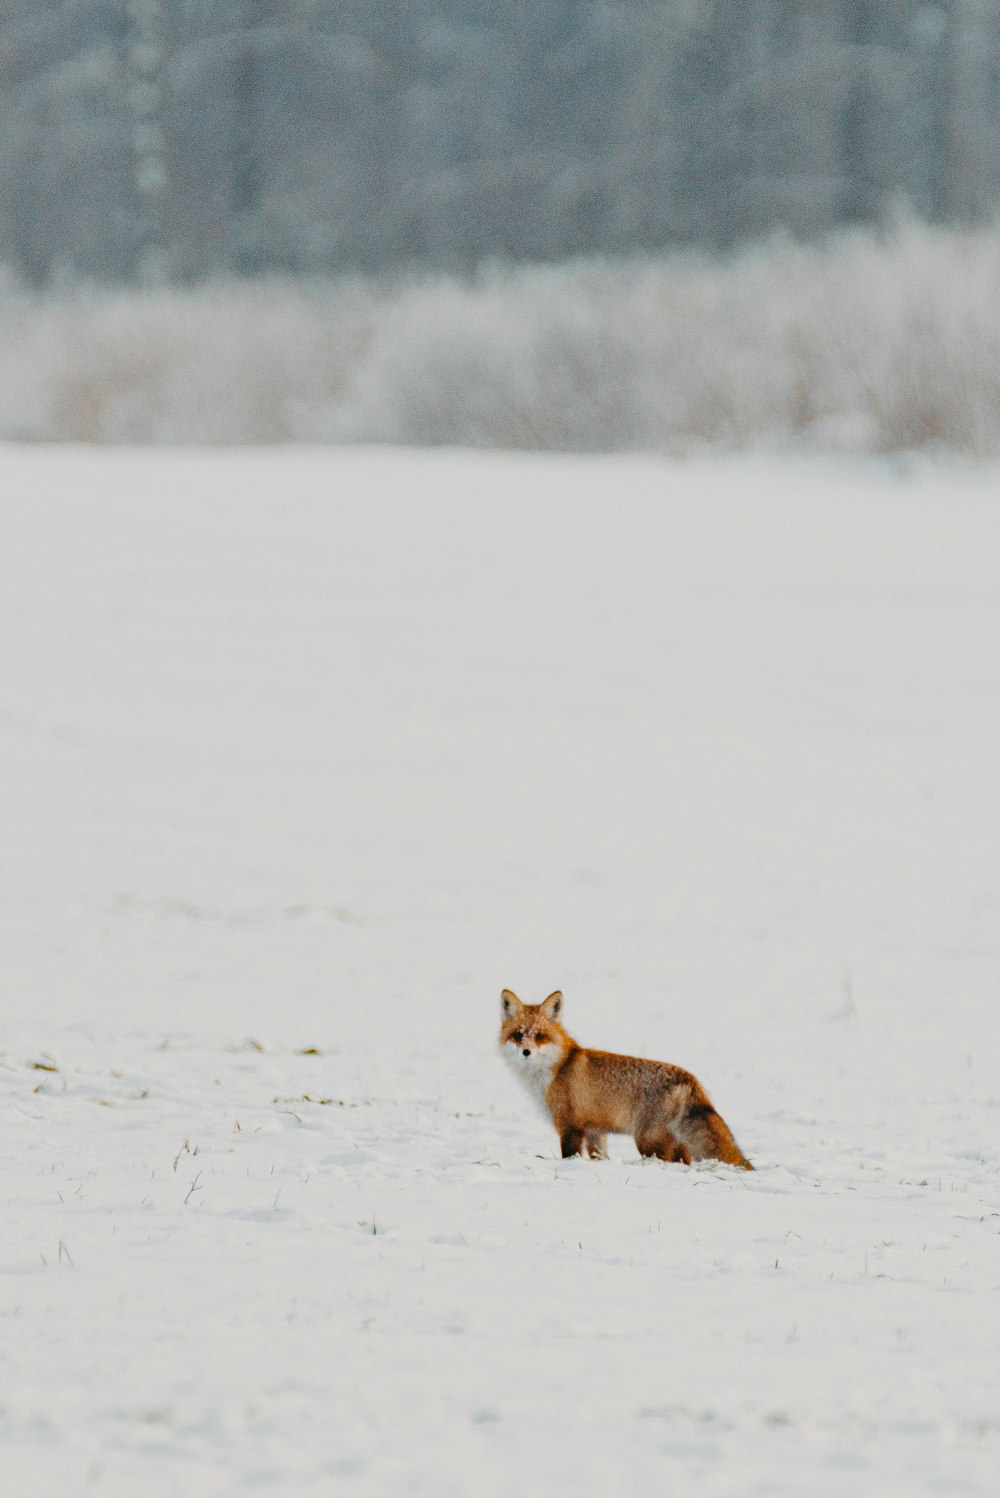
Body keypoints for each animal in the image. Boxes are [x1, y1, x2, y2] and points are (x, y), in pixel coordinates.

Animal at [499, 994, 748, 1168]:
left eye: (540, 1036)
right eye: (518, 1035)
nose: (526, 1052)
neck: (558, 1067)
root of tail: (690, 1079)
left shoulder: (570, 1127)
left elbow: (570, 1156)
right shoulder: (595, 1131)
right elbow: (600, 1156)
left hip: (648, 1142)